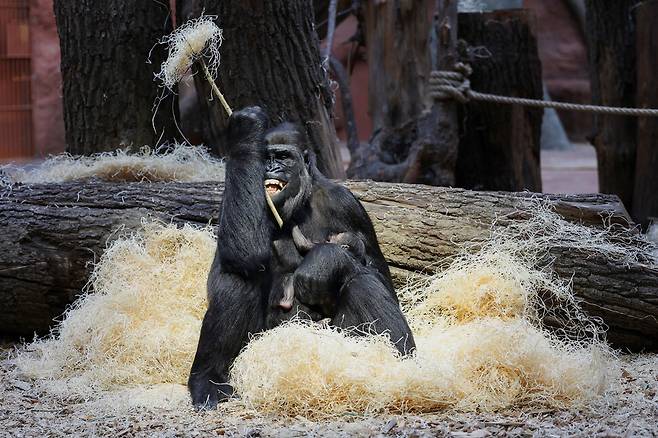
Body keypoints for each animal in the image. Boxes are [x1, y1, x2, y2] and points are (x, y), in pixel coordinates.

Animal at [188, 108, 416, 408]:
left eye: (283, 156)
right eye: (265, 157)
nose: (271, 169)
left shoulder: (347, 204)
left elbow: (379, 277)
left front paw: (328, 260)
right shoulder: (229, 195)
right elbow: (241, 252)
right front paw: (246, 130)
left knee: (360, 280)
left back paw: (397, 366)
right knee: (239, 275)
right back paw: (208, 380)